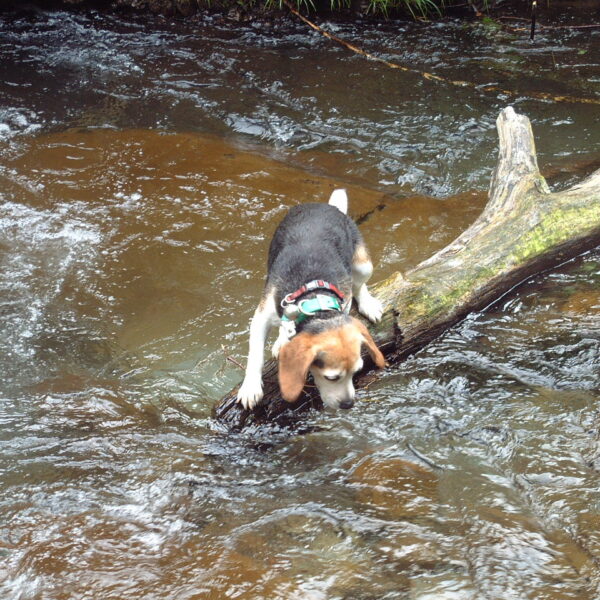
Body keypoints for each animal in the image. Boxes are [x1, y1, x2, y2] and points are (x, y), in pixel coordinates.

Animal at [236, 190, 384, 410]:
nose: (348, 404)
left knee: (359, 286)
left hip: (363, 265)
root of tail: (328, 206)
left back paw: (368, 304)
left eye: (357, 371)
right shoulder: (261, 317)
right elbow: (255, 356)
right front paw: (250, 388)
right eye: (332, 378)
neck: (314, 300)